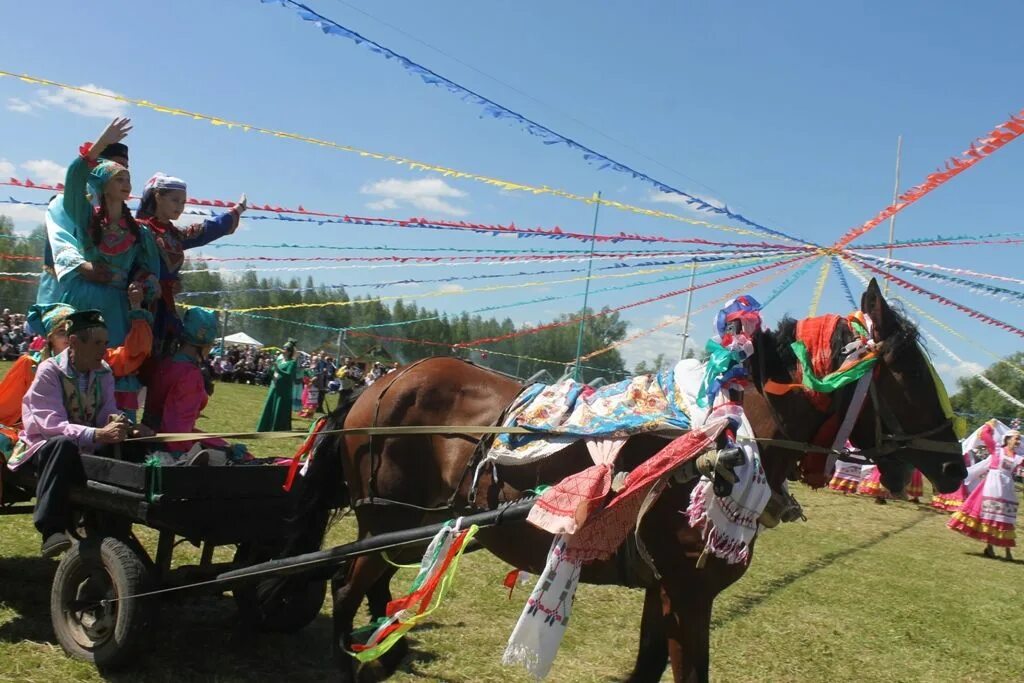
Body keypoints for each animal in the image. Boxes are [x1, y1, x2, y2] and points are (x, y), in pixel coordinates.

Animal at [282, 278, 966, 683]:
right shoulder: (690, 594)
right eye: (907, 370)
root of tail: (383, 383)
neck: (722, 441)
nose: (956, 466)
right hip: (387, 520)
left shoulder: (664, 591)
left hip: (407, 531)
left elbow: (646, 669)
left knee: (369, 587)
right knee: (347, 589)